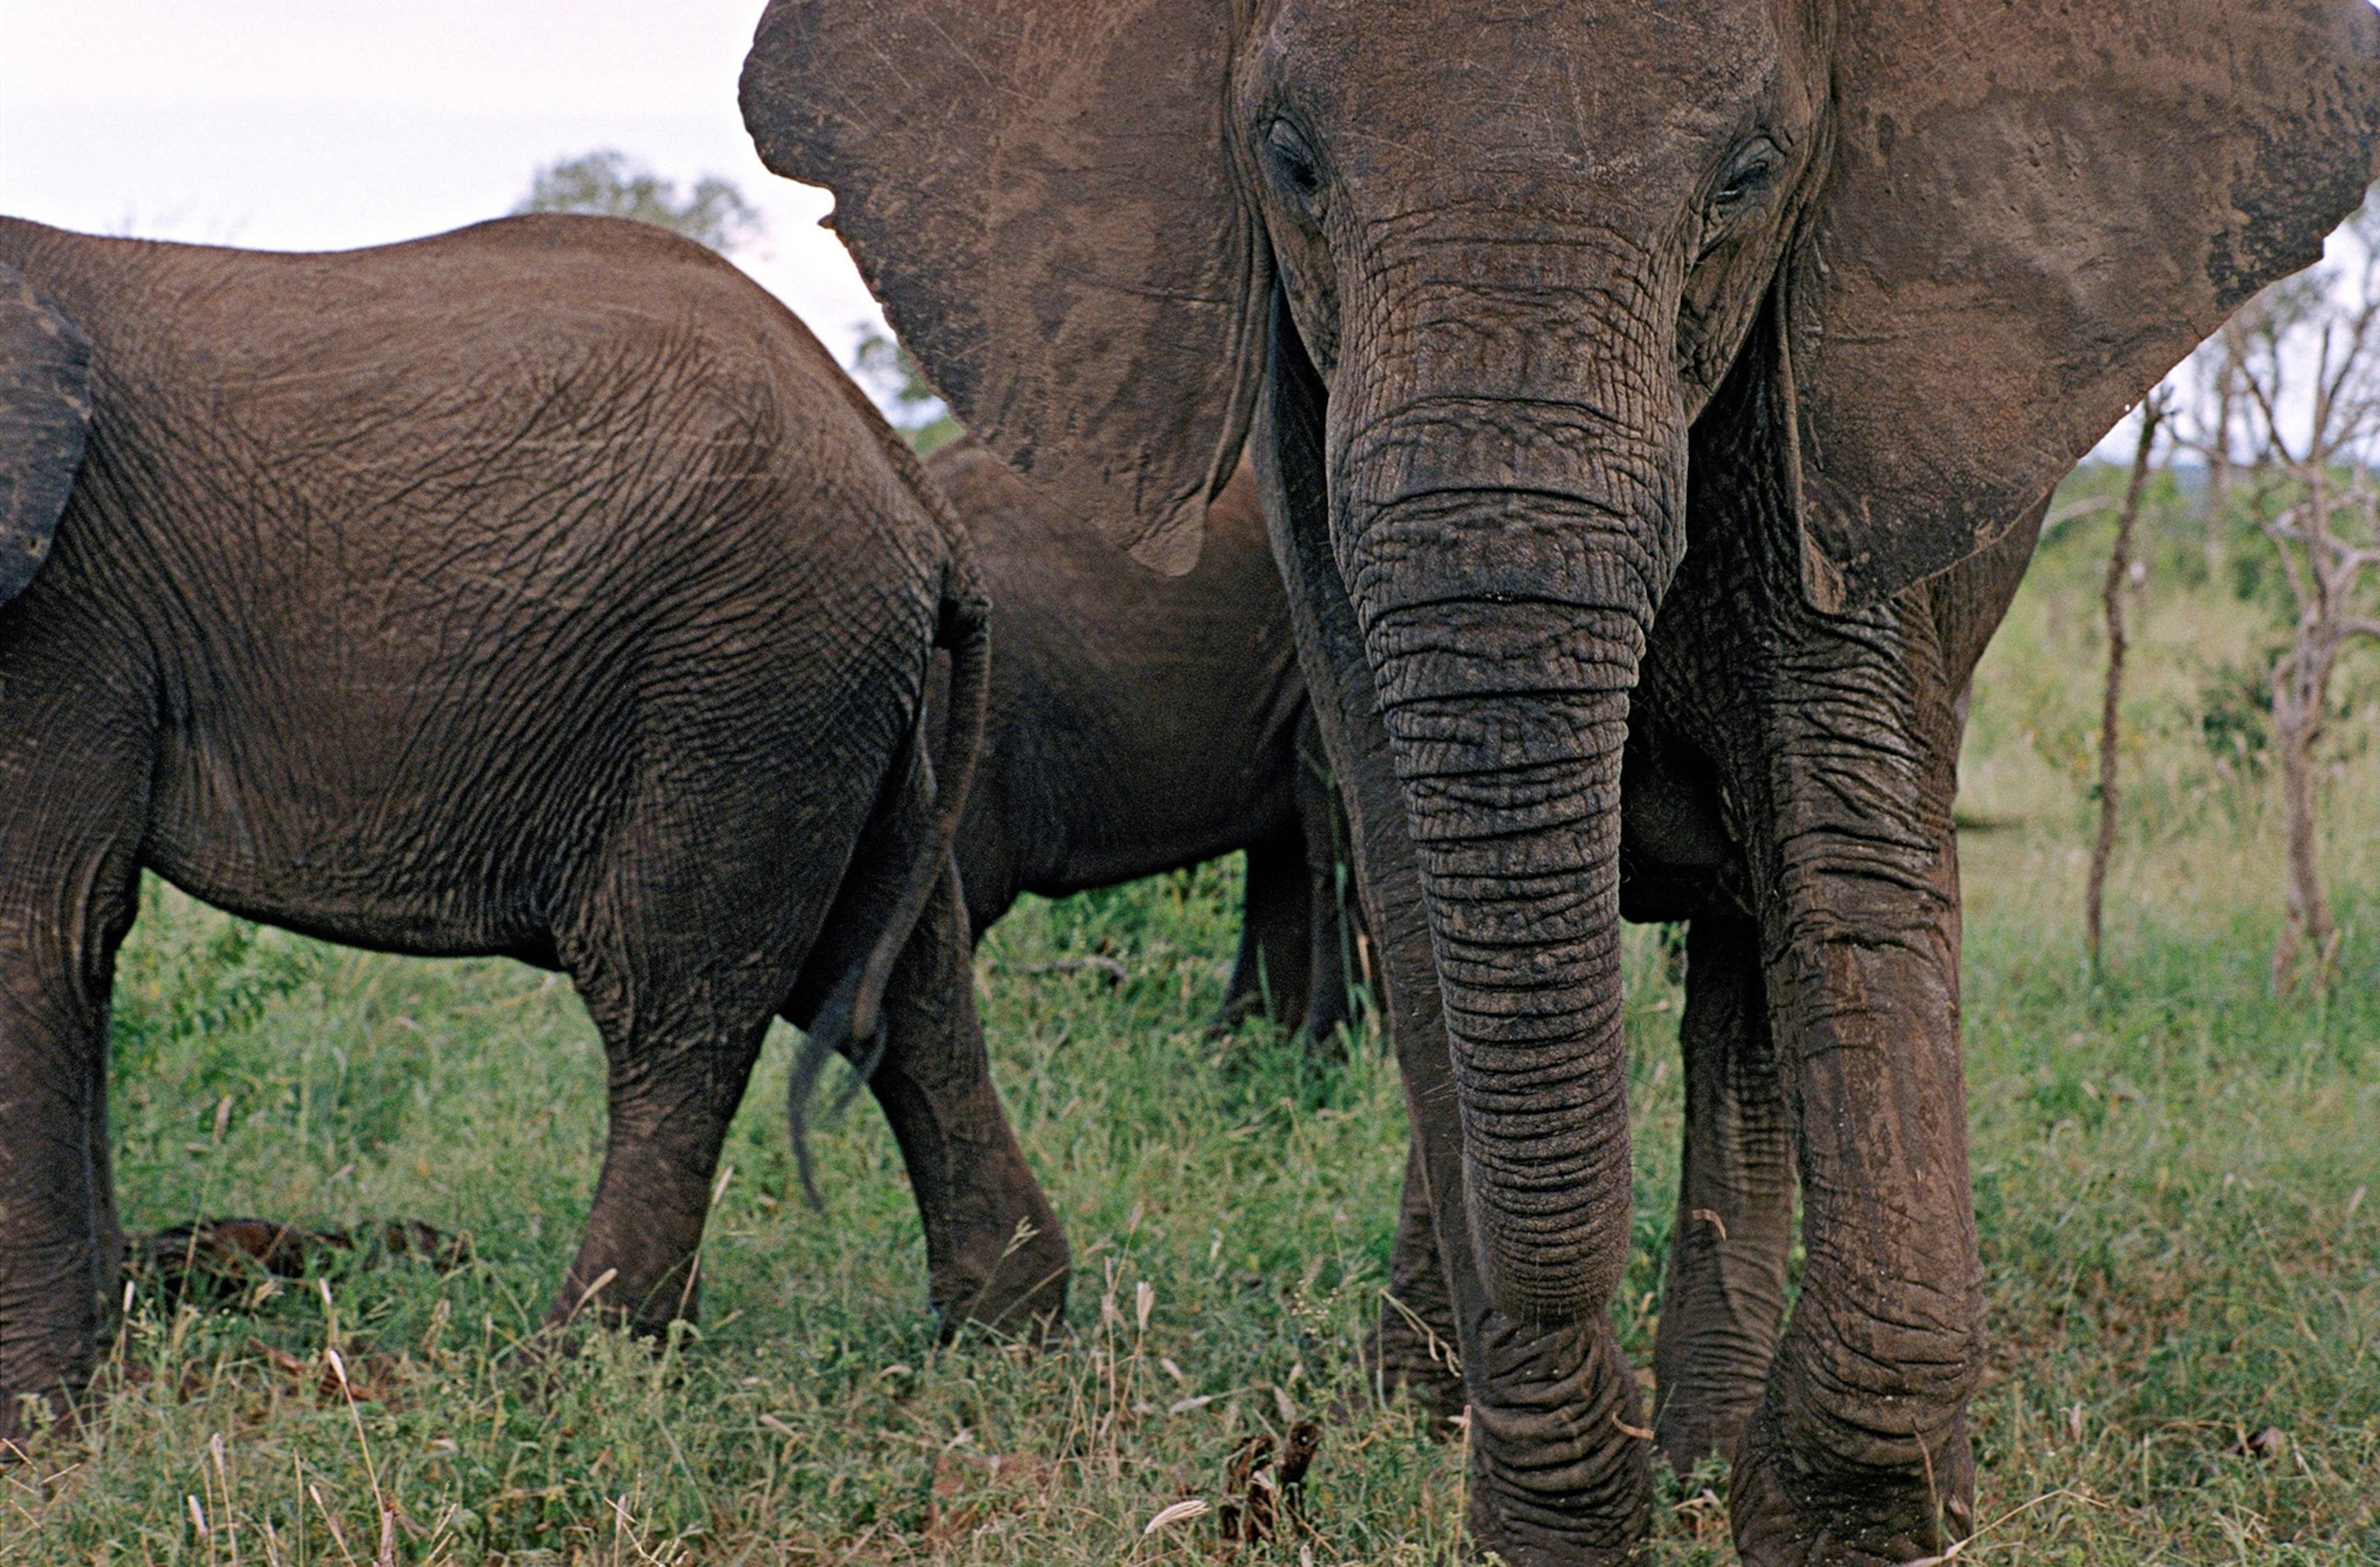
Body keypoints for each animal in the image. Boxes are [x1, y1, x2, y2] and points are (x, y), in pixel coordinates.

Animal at [0, 212, 1068, 1450]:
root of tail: (908, 478)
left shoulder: (61, 619)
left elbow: (40, 929)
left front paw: (34, 1431)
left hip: (742, 681)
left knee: (675, 1008)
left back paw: (569, 1382)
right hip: (831, 705)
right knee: (900, 993)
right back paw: (1001, 1342)